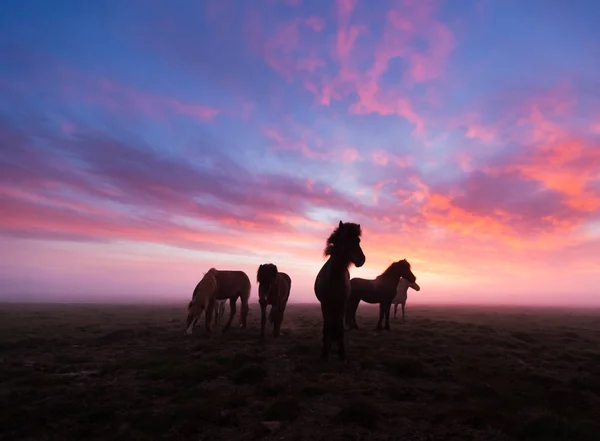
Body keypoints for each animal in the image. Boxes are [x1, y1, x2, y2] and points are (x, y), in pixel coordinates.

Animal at [314, 220, 366, 360]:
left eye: (358, 240)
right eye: (345, 238)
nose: (361, 259)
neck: (334, 277)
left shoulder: (342, 304)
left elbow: (340, 327)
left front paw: (342, 353)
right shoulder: (325, 304)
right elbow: (327, 327)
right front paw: (324, 353)